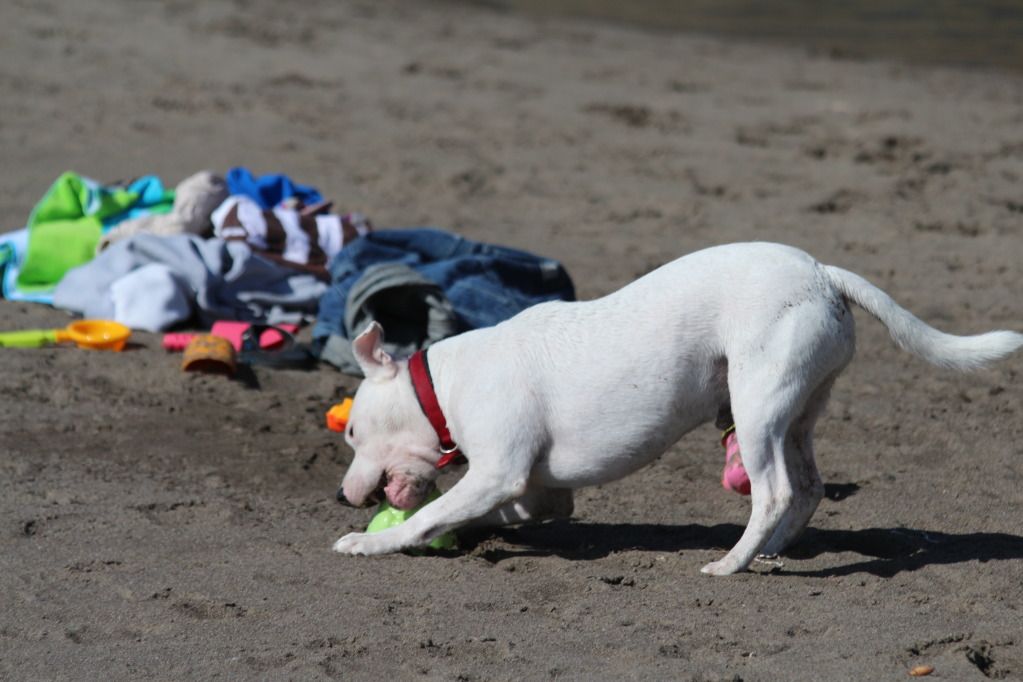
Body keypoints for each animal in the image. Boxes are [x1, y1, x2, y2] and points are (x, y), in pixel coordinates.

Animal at [331, 242, 1018, 572]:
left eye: (353, 432)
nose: (341, 496)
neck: (443, 384)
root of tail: (823, 273)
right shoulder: (534, 493)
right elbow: (475, 514)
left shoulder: (498, 471)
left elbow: (428, 513)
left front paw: (371, 543)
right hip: (797, 412)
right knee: (807, 488)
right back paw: (770, 551)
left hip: (757, 409)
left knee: (773, 492)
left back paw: (733, 563)